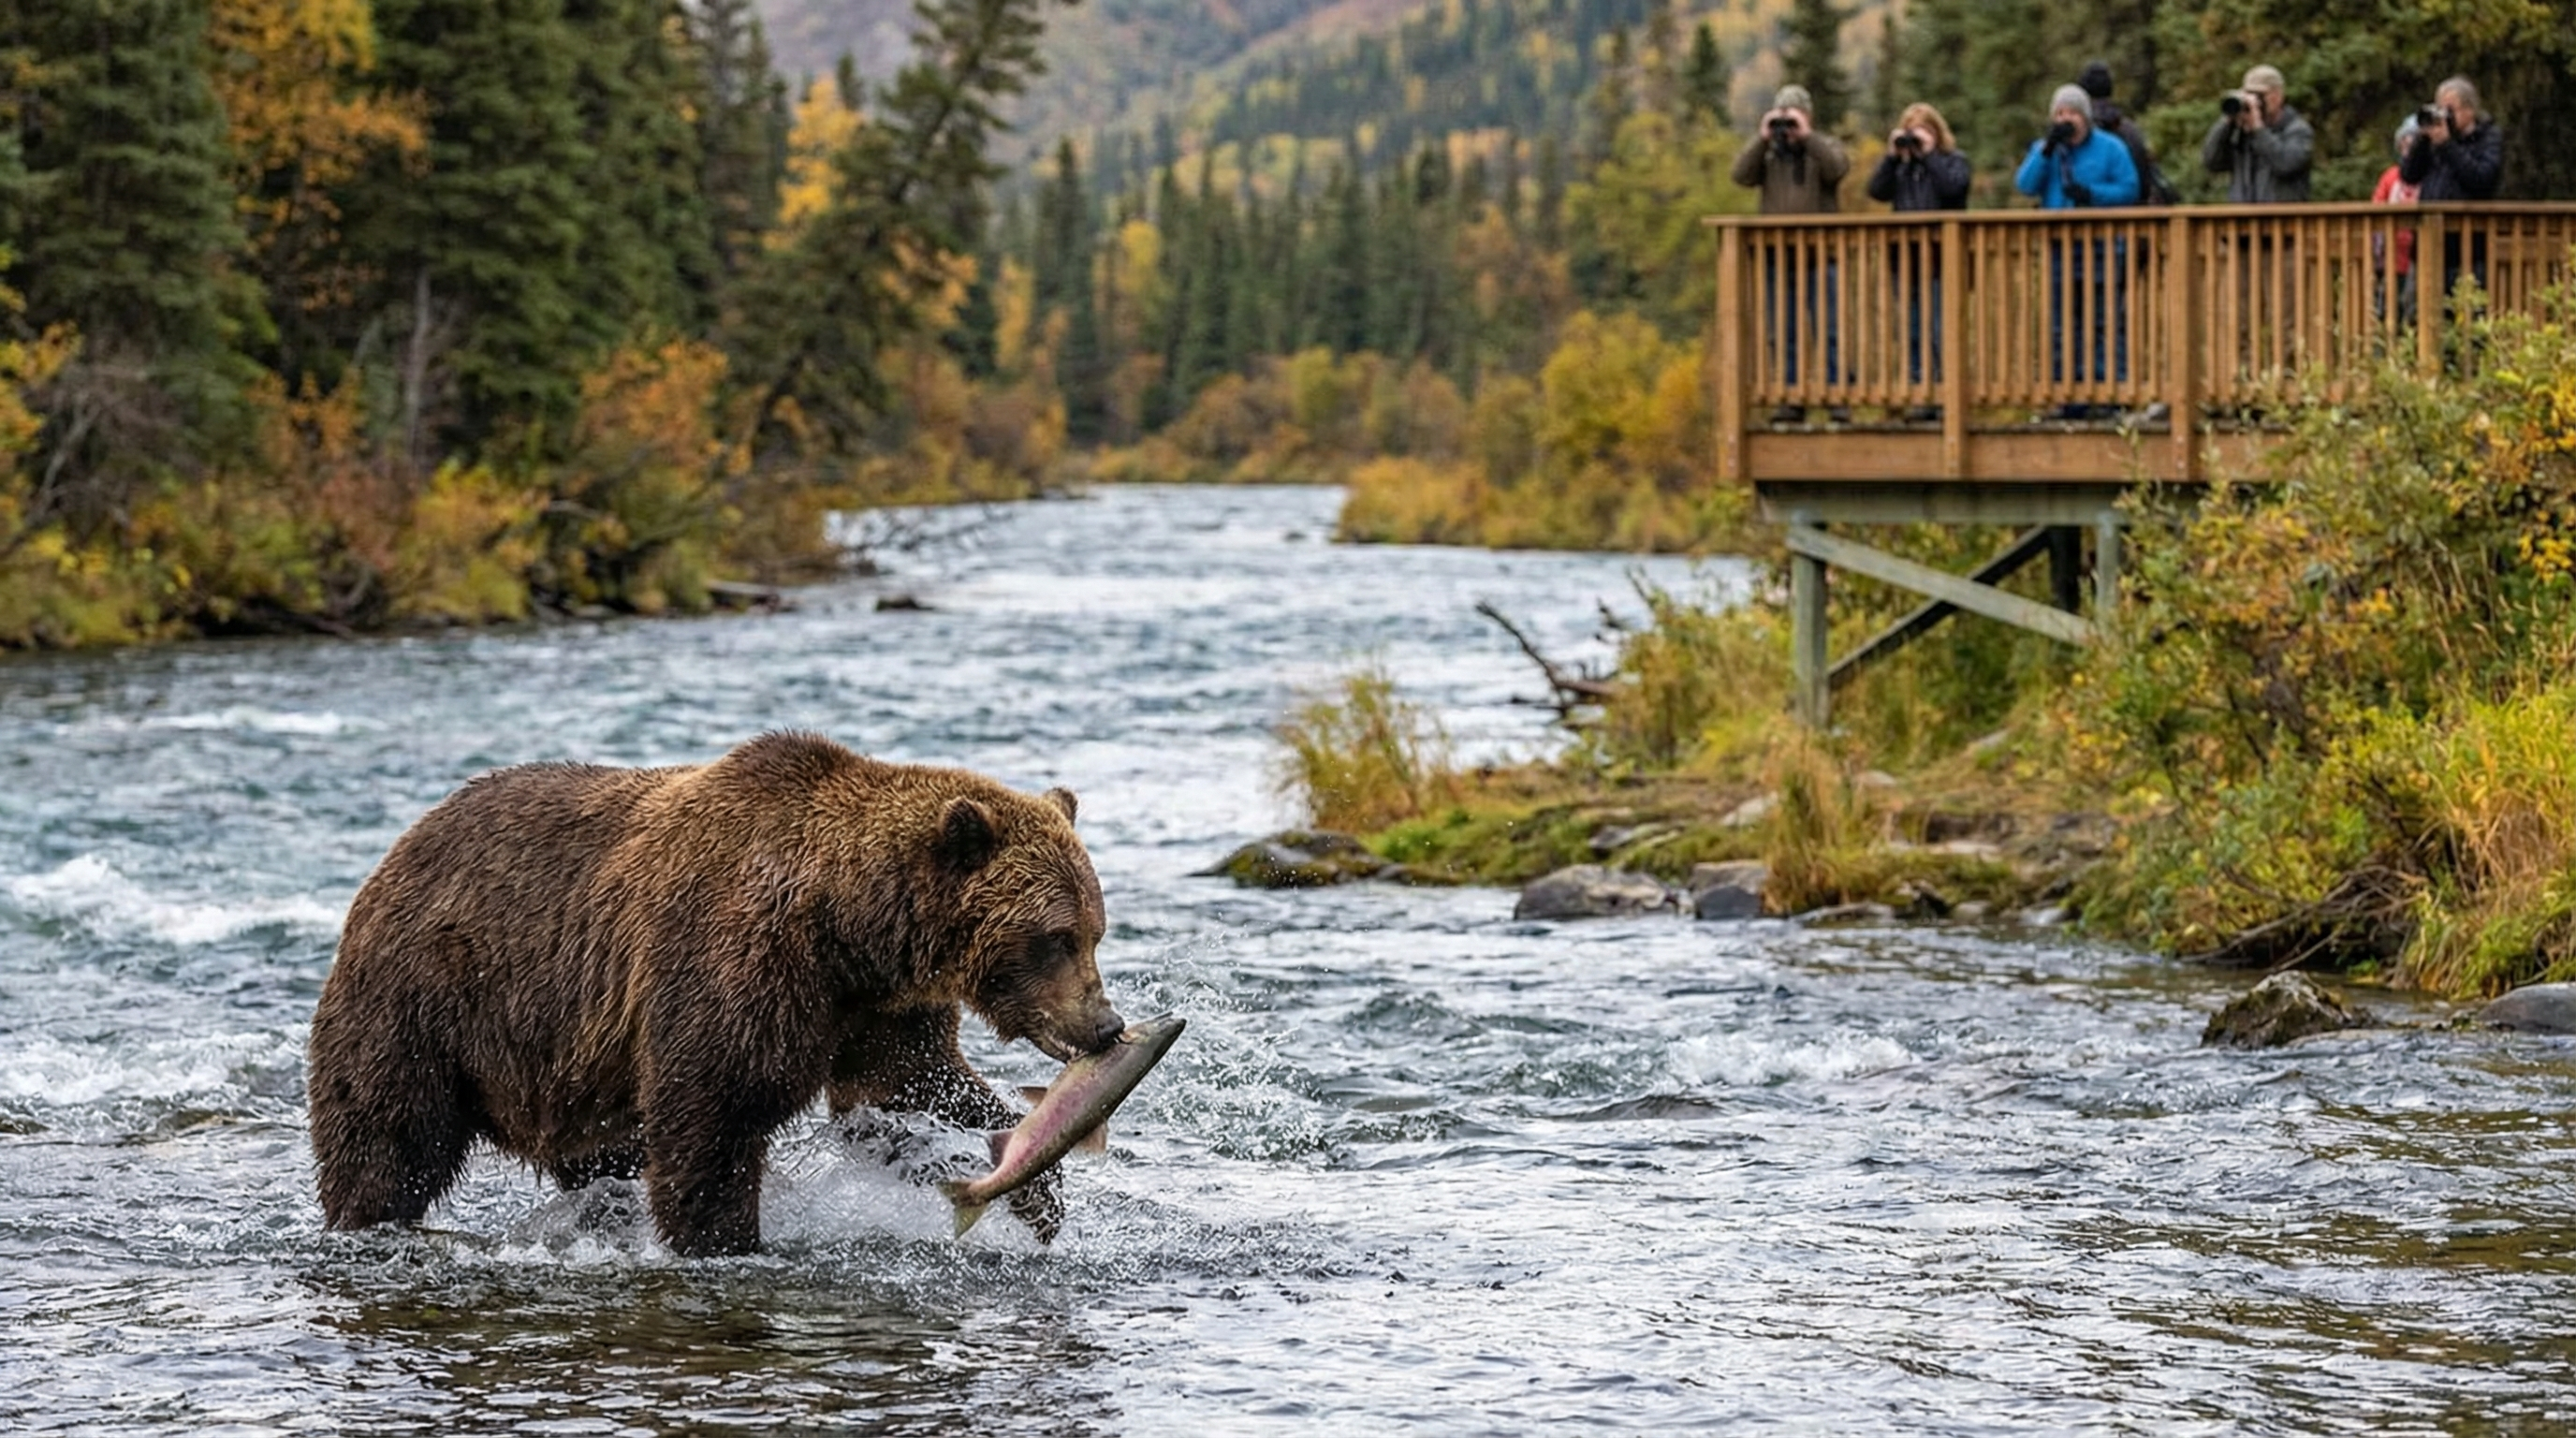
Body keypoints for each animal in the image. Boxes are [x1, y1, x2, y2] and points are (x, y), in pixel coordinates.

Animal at [305, 730, 1123, 1256]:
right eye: (1056, 937)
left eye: (1095, 929)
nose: (1106, 1026)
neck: (845, 928)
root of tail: (396, 852)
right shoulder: (732, 961)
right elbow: (714, 1110)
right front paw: (723, 1239)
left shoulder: (878, 1007)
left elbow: (907, 1087)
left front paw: (1036, 1193)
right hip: (427, 1001)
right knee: (388, 1137)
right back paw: (369, 1218)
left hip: (562, 1067)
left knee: (594, 1151)